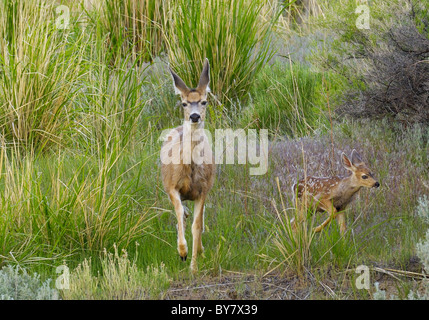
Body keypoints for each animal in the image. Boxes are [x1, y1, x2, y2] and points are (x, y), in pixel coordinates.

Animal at [159, 58, 214, 272]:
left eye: (204, 101)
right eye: (184, 103)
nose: (194, 116)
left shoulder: (203, 189)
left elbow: (197, 226)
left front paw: (194, 267)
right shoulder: (171, 186)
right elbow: (180, 215)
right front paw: (182, 252)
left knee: (200, 220)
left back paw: (200, 250)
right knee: (182, 215)